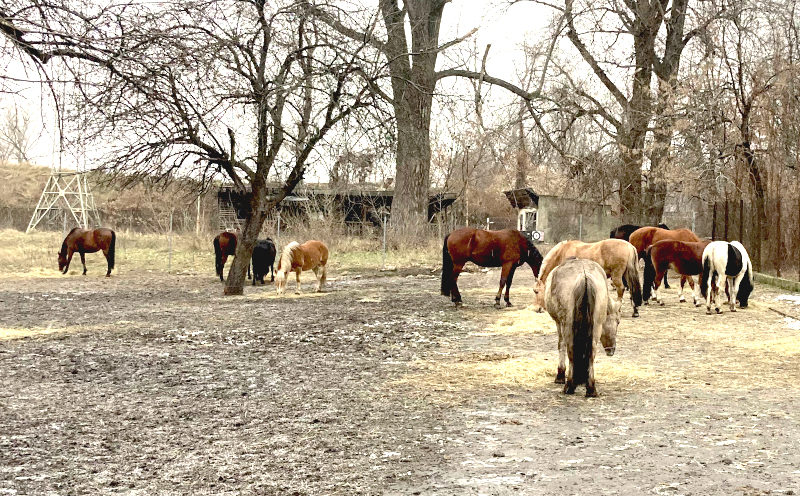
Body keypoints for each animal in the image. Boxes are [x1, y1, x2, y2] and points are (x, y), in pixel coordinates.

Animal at [548, 258, 620, 398]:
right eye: (618, 322)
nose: (612, 349)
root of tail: (584, 275)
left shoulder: (559, 323)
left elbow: (561, 346)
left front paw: (560, 375)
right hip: (596, 328)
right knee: (591, 353)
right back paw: (591, 388)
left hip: (568, 326)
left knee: (570, 350)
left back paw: (569, 386)